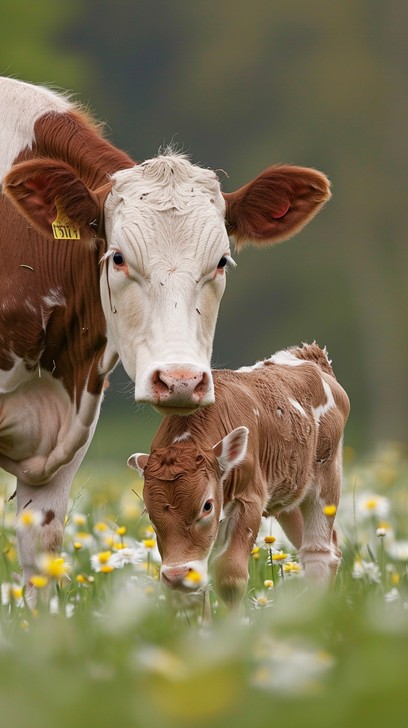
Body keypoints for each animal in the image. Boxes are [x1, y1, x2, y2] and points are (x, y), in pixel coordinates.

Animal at [128, 343, 350, 606]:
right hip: (289, 495)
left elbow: (230, 577)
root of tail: (309, 356)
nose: (177, 574)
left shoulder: (249, 500)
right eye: (149, 512)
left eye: (207, 506)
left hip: (326, 479)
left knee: (319, 551)